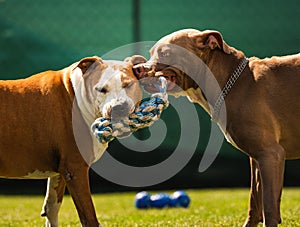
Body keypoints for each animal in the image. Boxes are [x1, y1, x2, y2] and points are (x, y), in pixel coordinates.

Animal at [0, 55, 145, 227]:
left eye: (128, 85)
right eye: (101, 89)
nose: (118, 107)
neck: (78, 96)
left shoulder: (60, 171)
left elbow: (52, 207)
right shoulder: (75, 169)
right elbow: (89, 217)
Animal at [135, 28, 300, 227]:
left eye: (166, 53)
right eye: (151, 53)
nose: (136, 68)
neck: (232, 81)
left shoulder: (270, 154)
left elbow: (268, 204)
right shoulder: (257, 159)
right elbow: (255, 200)